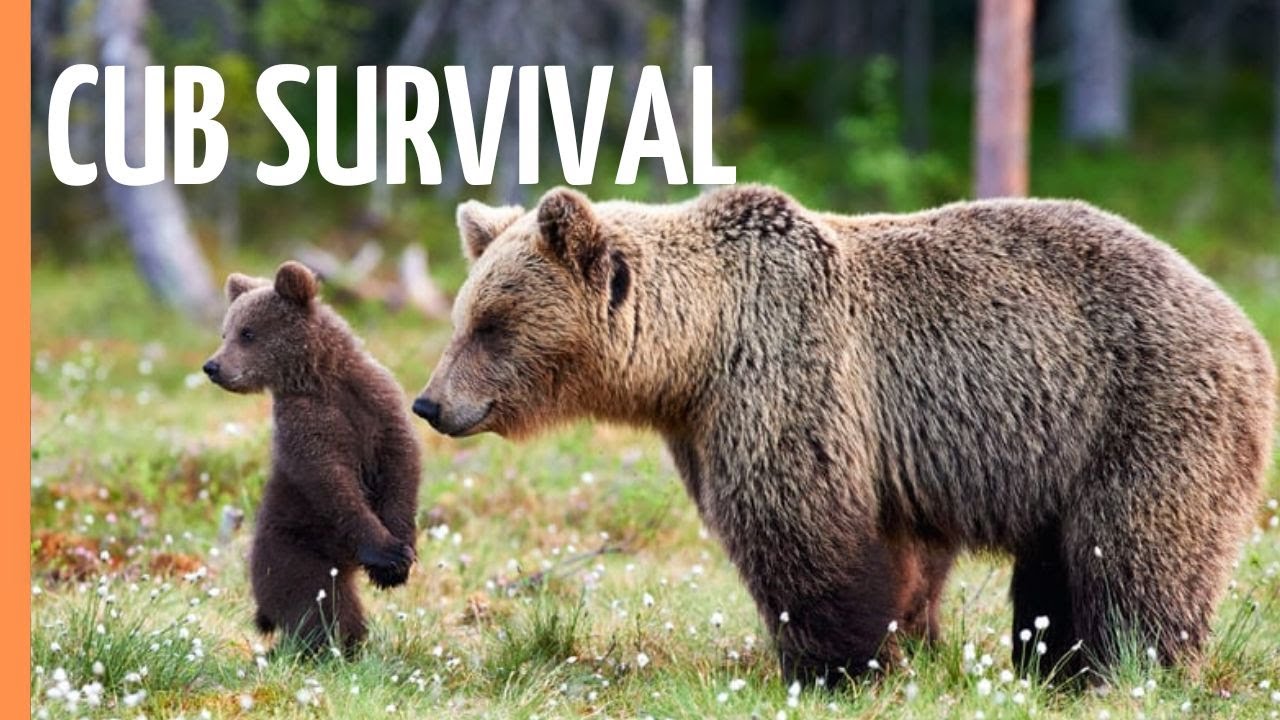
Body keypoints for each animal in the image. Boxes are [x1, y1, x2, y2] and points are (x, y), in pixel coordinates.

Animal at [204, 261, 422, 655]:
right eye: (224, 332)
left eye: (247, 333)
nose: (212, 366)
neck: (321, 377)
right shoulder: (306, 425)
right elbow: (331, 480)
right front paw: (388, 555)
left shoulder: (377, 403)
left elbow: (402, 462)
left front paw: (401, 556)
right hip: (295, 552)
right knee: (323, 606)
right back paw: (333, 648)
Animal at [413, 186, 1276, 686]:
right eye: (464, 316)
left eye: (493, 324)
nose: (430, 402)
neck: (696, 353)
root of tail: (1242, 324)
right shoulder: (718, 424)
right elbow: (902, 554)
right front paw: (908, 642)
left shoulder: (787, 379)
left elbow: (800, 527)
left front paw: (837, 665)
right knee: (1059, 562)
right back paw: (1053, 664)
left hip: (1142, 414)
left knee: (1134, 551)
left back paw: (1125, 665)